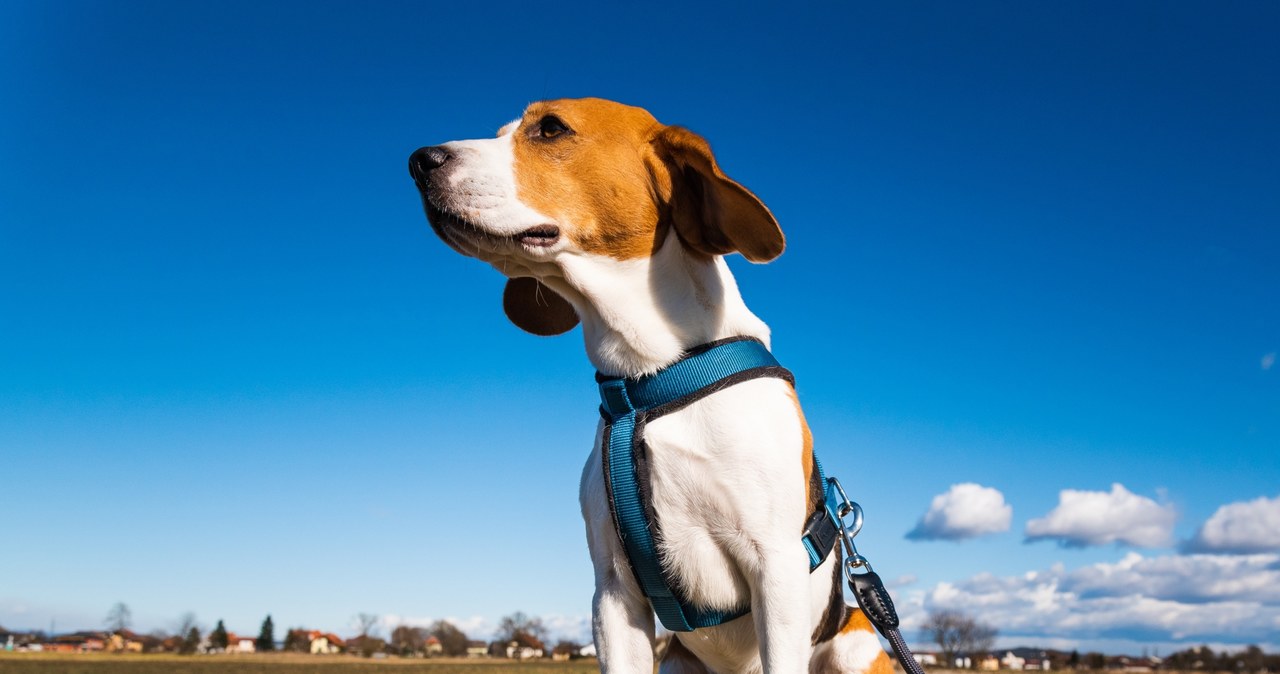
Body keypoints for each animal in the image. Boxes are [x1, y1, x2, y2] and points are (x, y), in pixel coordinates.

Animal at [409, 96, 890, 674]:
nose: (418, 161)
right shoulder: (614, 594)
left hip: (856, 645)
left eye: (550, 129)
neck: (653, 379)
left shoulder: (776, 570)